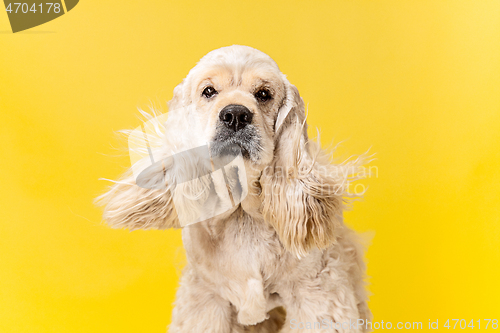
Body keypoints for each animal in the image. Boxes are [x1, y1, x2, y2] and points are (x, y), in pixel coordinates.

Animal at [97, 45, 372, 330]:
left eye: (263, 94)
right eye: (208, 91)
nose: (236, 115)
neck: (243, 212)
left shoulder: (316, 290)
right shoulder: (206, 296)